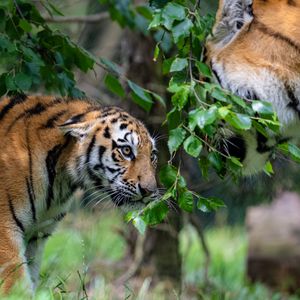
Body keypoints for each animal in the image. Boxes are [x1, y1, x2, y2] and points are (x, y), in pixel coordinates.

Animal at [0, 95, 157, 292]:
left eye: (152, 156)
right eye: (126, 150)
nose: (149, 190)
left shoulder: (36, 236)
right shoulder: (5, 232)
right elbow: (16, 286)